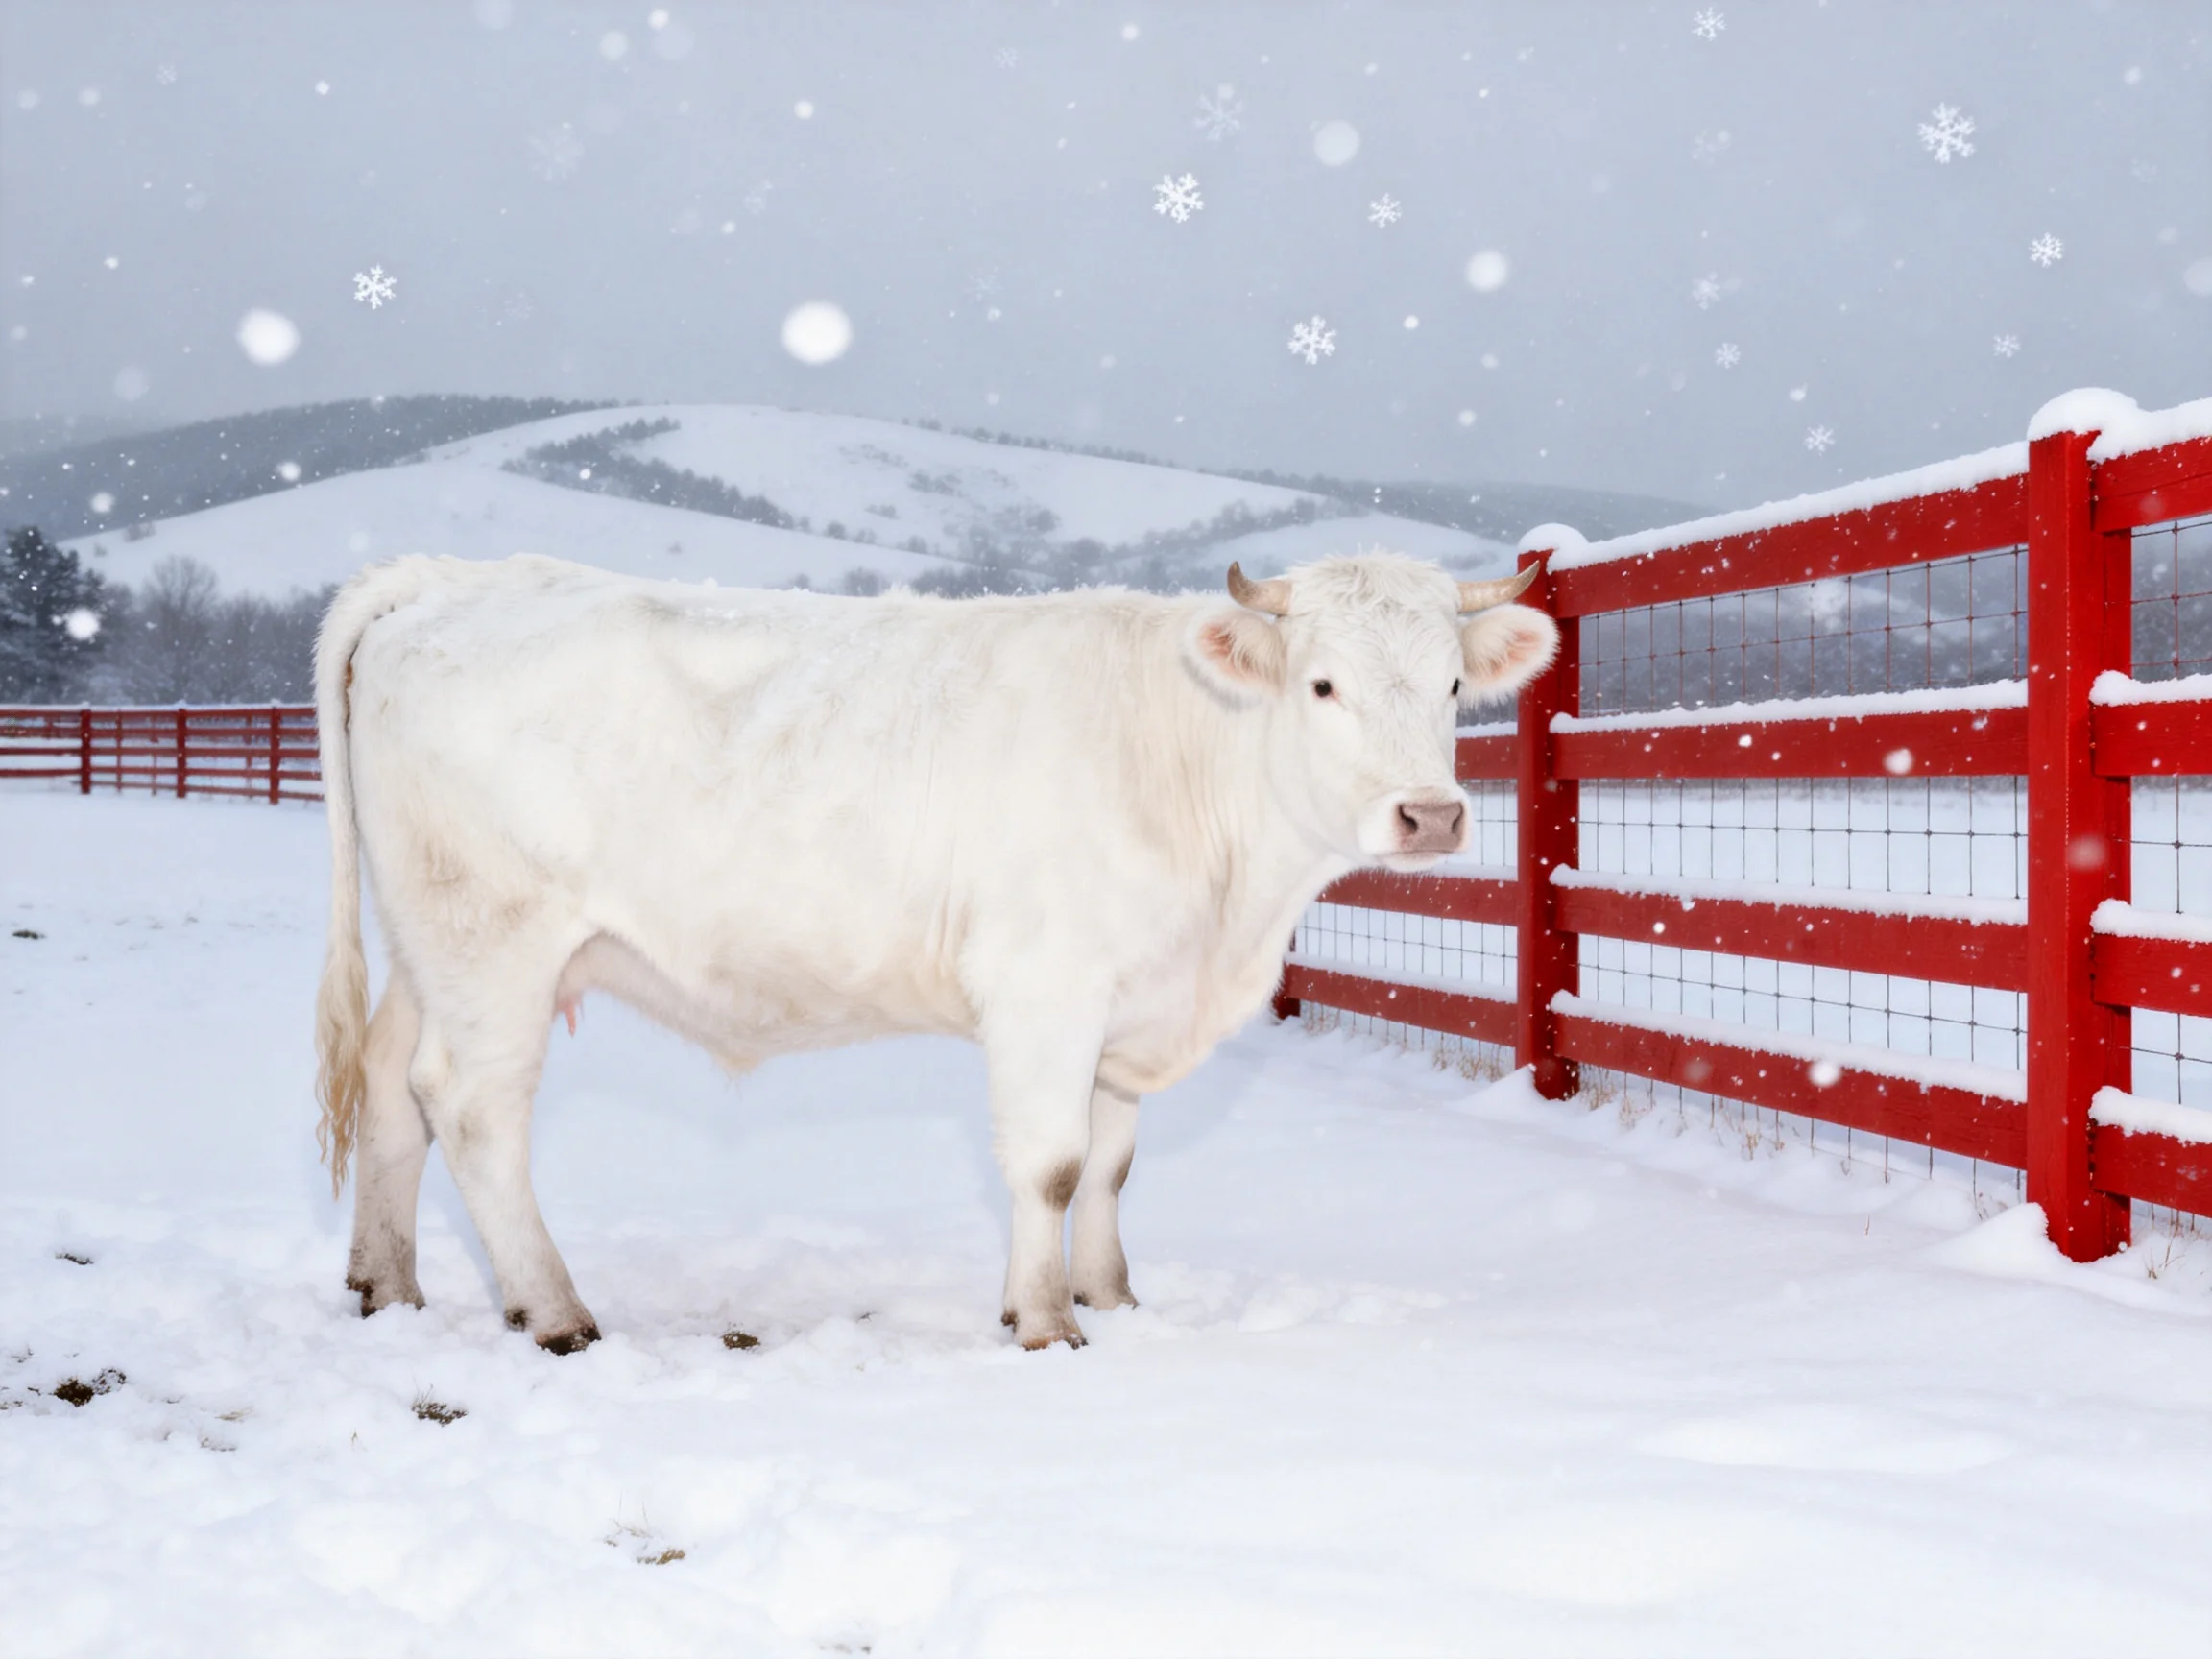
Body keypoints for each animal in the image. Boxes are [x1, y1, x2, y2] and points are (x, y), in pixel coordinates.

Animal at [313, 550, 1558, 1352]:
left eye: (1454, 684)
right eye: (1322, 683)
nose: (1431, 816)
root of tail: (454, 576)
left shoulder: (1126, 999)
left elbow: (1111, 1164)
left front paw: (1111, 1298)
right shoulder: (1046, 985)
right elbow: (1051, 1163)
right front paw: (1046, 1324)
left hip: (429, 945)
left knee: (391, 1082)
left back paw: (389, 1286)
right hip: (496, 943)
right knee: (473, 1107)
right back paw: (557, 1312)